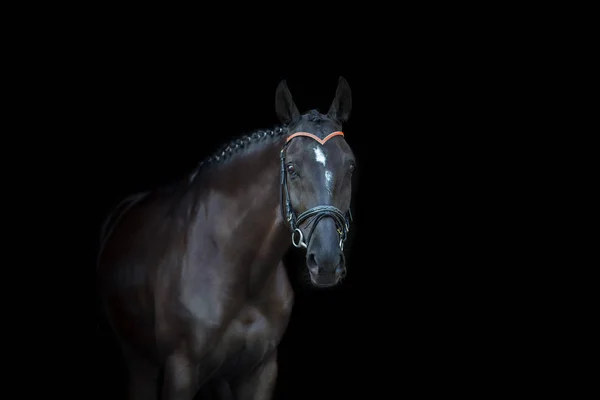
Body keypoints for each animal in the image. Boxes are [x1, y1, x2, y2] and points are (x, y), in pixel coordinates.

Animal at [98, 76, 358, 398]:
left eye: (350, 166)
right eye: (291, 168)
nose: (326, 261)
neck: (237, 265)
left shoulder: (260, 371)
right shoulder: (181, 370)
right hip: (138, 359)